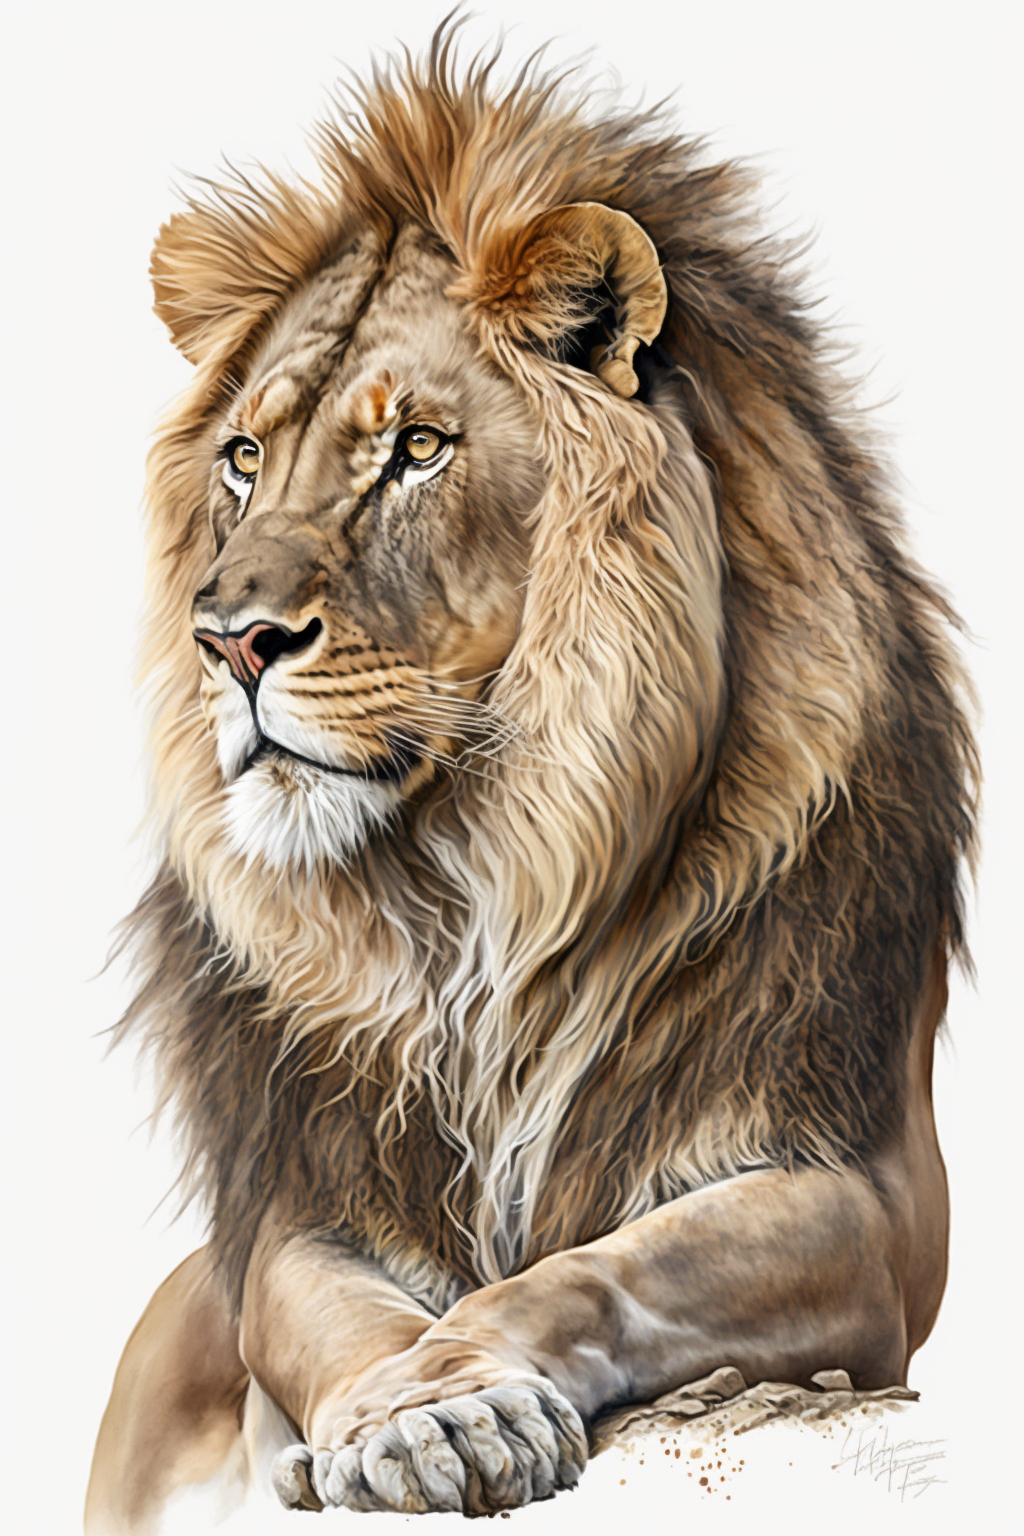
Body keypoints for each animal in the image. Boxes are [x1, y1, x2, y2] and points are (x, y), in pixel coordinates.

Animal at [85, 26, 977, 1534]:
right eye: (246, 458)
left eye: (416, 448)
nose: (229, 640)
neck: (482, 876)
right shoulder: (297, 1205)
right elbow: (335, 1314)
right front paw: (419, 1409)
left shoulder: (870, 1200)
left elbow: (607, 1265)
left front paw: (459, 1388)